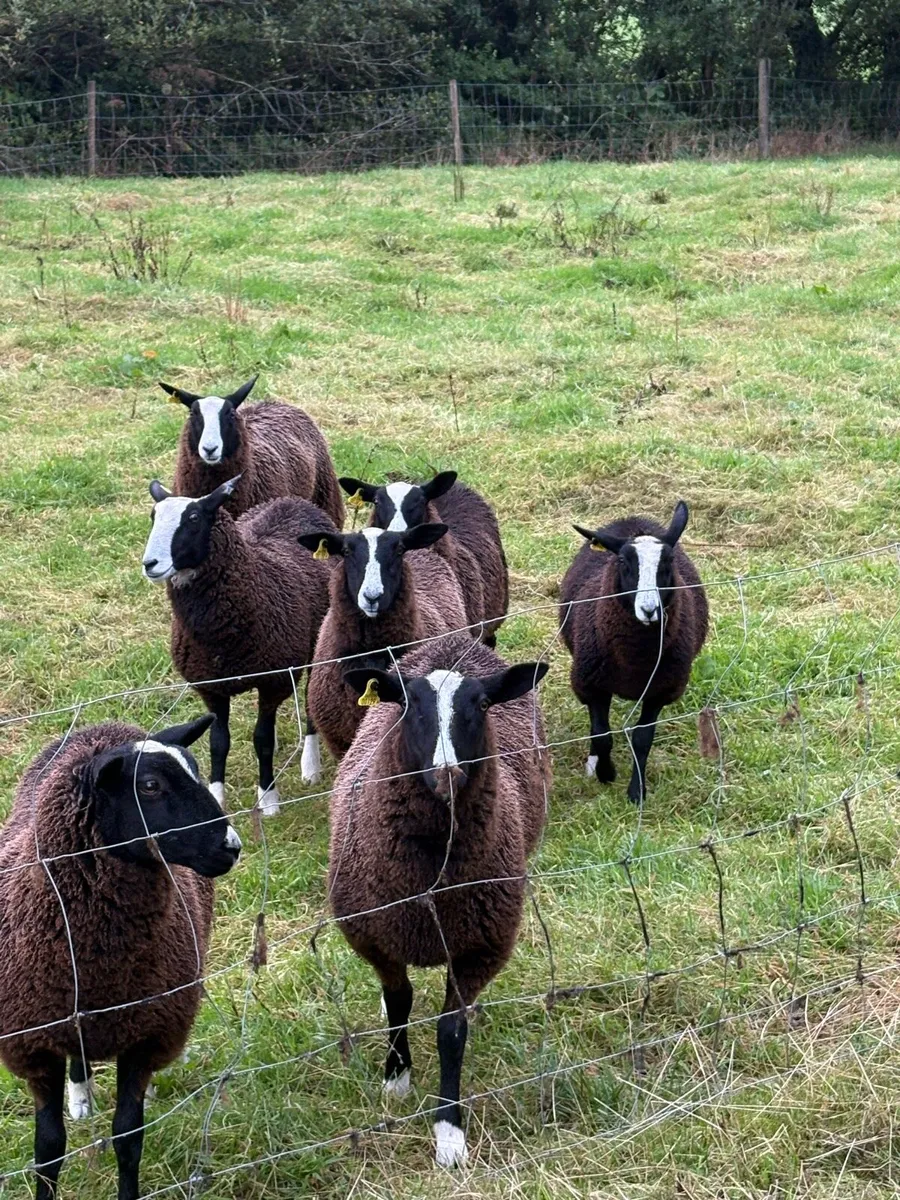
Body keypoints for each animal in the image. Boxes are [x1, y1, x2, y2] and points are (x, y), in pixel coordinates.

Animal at [0, 715, 241, 1200]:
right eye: (149, 786)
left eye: (196, 769)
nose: (231, 846)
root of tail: (105, 725)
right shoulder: (37, 1045)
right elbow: (48, 1148)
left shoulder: (146, 1036)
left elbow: (129, 1138)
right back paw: (81, 1098)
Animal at [142, 475, 337, 815]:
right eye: (154, 517)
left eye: (193, 519)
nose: (149, 563)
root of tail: (292, 501)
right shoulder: (211, 687)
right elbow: (218, 742)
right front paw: (218, 795)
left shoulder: (272, 681)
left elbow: (263, 740)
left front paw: (268, 799)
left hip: (320, 641)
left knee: (311, 703)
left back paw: (310, 766)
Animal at [330, 632, 551, 1169]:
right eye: (408, 707)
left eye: (484, 705)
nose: (447, 773)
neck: (433, 878)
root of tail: (454, 641)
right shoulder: (375, 936)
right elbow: (400, 1000)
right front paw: (396, 1077)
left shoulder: (479, 947)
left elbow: (451, 1032)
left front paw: (449, 1133)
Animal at [559, 500, 708, 805]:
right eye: (623, 563)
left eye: (668, 562)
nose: (649, 609)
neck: (635, 660)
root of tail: (632, 520)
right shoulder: (592, 684)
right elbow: (602, 734)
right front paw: (606, 773)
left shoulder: (660, 689)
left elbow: (642, 738)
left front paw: (636, 792)